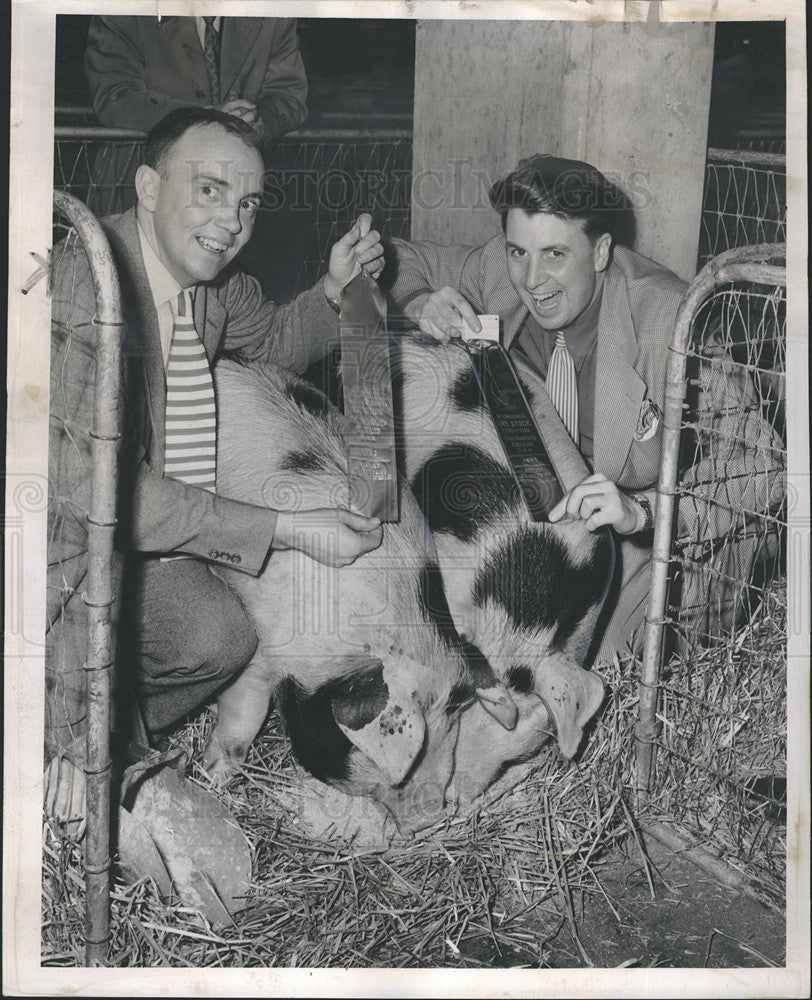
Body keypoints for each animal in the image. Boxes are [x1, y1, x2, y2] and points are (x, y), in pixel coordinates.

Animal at [201, 360, 516, 836]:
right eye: (403, 765)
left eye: (452, 724)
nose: (430, 819)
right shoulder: (264, 642)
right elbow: (244, 713)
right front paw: (211, 775)